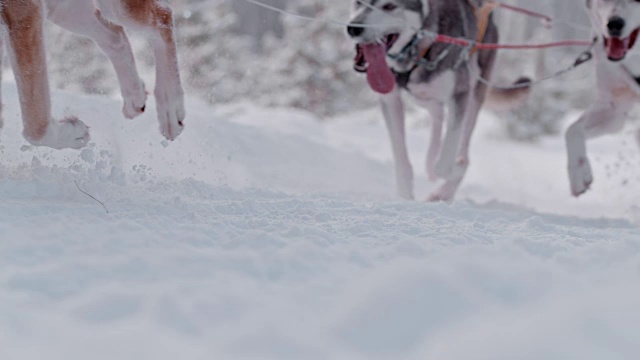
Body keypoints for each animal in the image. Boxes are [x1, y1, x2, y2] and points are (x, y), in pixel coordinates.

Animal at [0, 0, 185, 149]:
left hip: (117, 8)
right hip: (65, 10)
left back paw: (170, 111)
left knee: (162, 17)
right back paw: (135, 97)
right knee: (115, 36)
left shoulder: (22, 12)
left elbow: (36, 120)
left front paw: (72, 133)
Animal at [348, 0, 528, 201]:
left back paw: (443, 189)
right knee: (438, 114)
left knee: (462, 146)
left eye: (389, 6)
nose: (354, 28)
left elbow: (447, 162)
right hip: (422, 96)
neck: (421, 46)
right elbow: (401, 156)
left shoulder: (460, 93)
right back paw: (431, 161)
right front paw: (405, 194)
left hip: (474, 94)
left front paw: (451, 169)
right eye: (358, 3)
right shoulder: (390, 98)